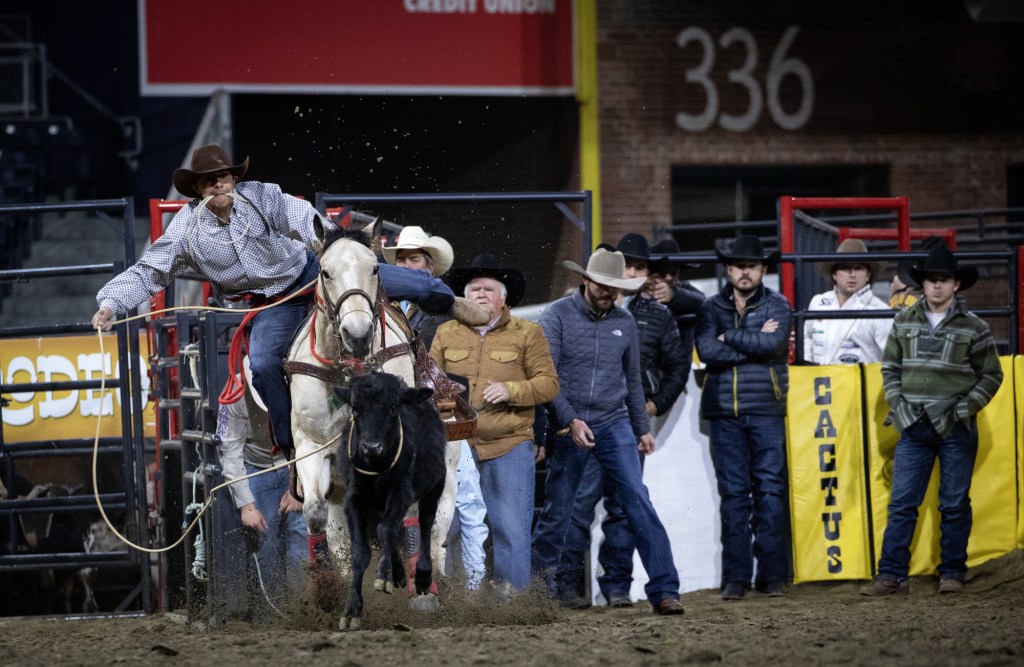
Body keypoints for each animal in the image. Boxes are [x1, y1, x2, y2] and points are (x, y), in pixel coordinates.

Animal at [333, 374, 446, 631]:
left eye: (394, 407)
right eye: (355, 408)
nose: (371, 447)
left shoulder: (401, 492)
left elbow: (386, 529)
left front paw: (383, 577)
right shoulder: (354, 499)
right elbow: (360, 551)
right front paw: (352, 610)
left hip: (435, 487)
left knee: (424, 524)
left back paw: (422, 576)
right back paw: (399, 572)